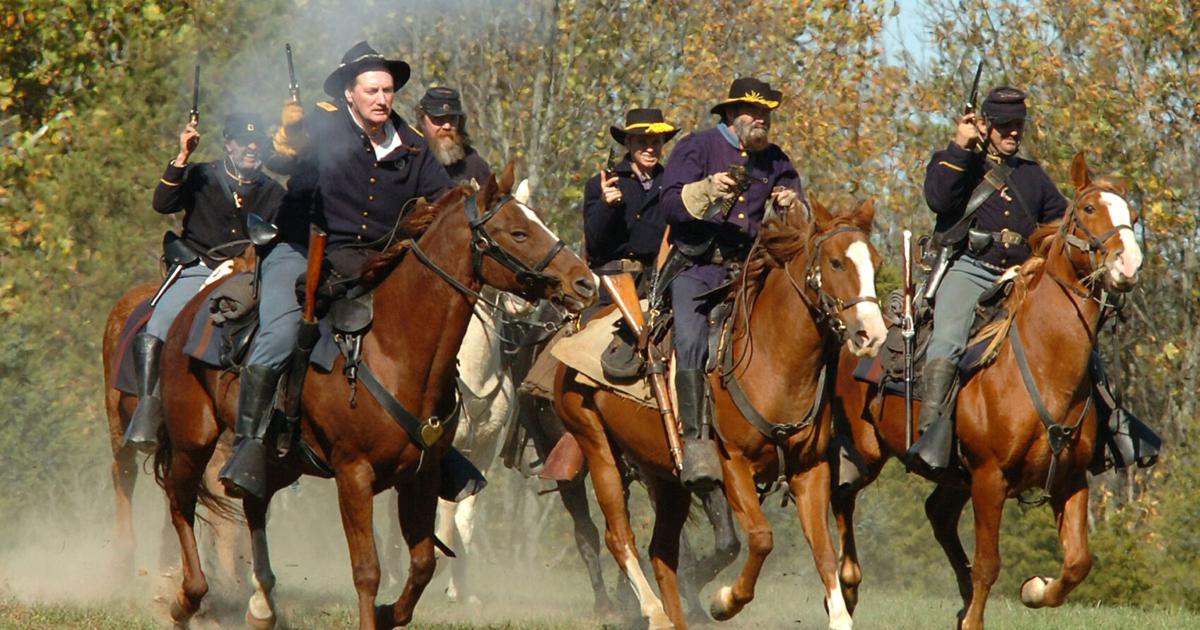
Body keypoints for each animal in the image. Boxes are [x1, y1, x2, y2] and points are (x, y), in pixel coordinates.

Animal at [152, 163, 596, 630]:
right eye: (518, 232)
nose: (584, 282)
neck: (395, 347)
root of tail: (192, 308)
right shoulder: (354, 475)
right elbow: (368, 569)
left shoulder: (422, 475)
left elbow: (424, 563)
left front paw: (390, 612)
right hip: (193, 440)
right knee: (180, 502)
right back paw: (186, 597)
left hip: (276, 459)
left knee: (253, 501)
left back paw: (260, 605)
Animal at [554, 198, 888, 629]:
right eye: (835, 263)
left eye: (875, 262)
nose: (872, 334)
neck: (773, 359)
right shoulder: (734, 467)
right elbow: (761, 538)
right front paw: (725, 601)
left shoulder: (809, 470)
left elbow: (825, 552)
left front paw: (840, 615)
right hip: (596, 446)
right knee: (620, 537)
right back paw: (655, 613)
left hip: (665, 476)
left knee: (662, 553)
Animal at [829, 153, 1144, 629]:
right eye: (1089, 209)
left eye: (1133, 216)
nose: (1129, 265)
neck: (1043, 363)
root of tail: (855, 337)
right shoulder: (989, 478)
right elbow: (989, 563)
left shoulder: (1070, 479)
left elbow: (1077, 563)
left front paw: (1034, 589)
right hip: (865, 454)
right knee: (841, 497)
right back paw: (847, 585)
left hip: (951, 477)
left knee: (938, 515)